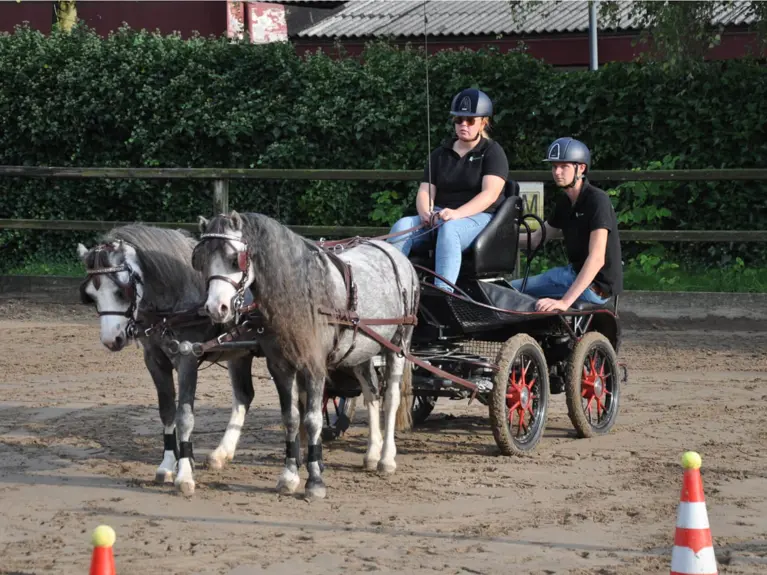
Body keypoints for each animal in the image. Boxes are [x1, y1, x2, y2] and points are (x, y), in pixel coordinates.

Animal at [77, 225, 260, 496]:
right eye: (91, 295)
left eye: (121, 290)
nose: (112, 340)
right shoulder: (155, 361)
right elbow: (167, 412)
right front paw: (167, 464)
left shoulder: (187, 358)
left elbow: (184, 416)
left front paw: (184, 474)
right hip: (240, 354)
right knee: (244, 396)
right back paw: (221, 453)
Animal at [194, 210, 420, 500]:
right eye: (201, 260)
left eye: (236, 258)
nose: (216, 308)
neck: (301, 294)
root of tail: (395, 253)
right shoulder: (281, 367)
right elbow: (291, 418)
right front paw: (289, 476)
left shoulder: (313, 367)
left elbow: (312, 420)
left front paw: (314, 481)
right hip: (361, 351)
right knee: (371, 393)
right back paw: (372, 453)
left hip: (398, 344)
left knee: (390, 398)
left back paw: (386, 458)